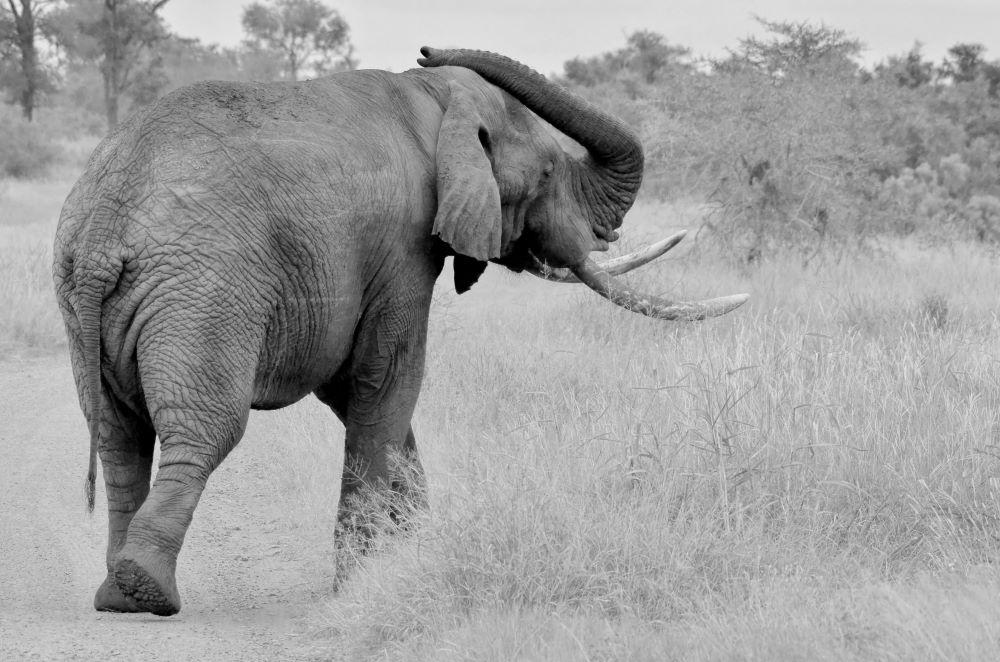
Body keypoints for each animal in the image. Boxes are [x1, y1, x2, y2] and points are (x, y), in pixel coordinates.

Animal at [53, 46, 747, 617]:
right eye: (549, 174)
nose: (426, 48)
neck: (434, 98)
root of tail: (103, 231)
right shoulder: (402, 246)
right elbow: (386, 378)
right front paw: (362, 584)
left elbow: (363, 395)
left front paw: (416, 553)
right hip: (204, 292)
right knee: (203, 430)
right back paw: (146, 593)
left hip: (93, 299)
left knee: (118, 435)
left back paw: (115, 592)